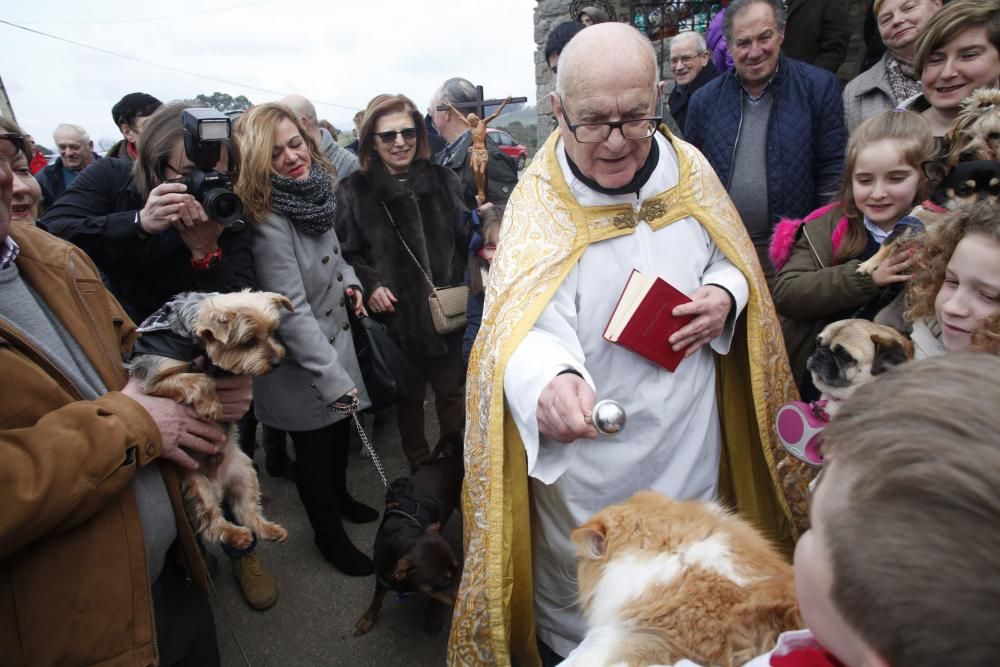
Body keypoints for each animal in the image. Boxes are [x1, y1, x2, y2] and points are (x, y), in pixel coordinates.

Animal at [127, 290, 292, 548]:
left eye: (272, 332)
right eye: (248, 341)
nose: (276, 362)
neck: (191, 335)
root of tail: (219, 483)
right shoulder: (155, 378)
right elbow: (200, 379)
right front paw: (212, 405)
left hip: (244, 471)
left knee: (247, 510)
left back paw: (267, 529)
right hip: (197, 483)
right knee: (211, 521)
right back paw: (235, 534)